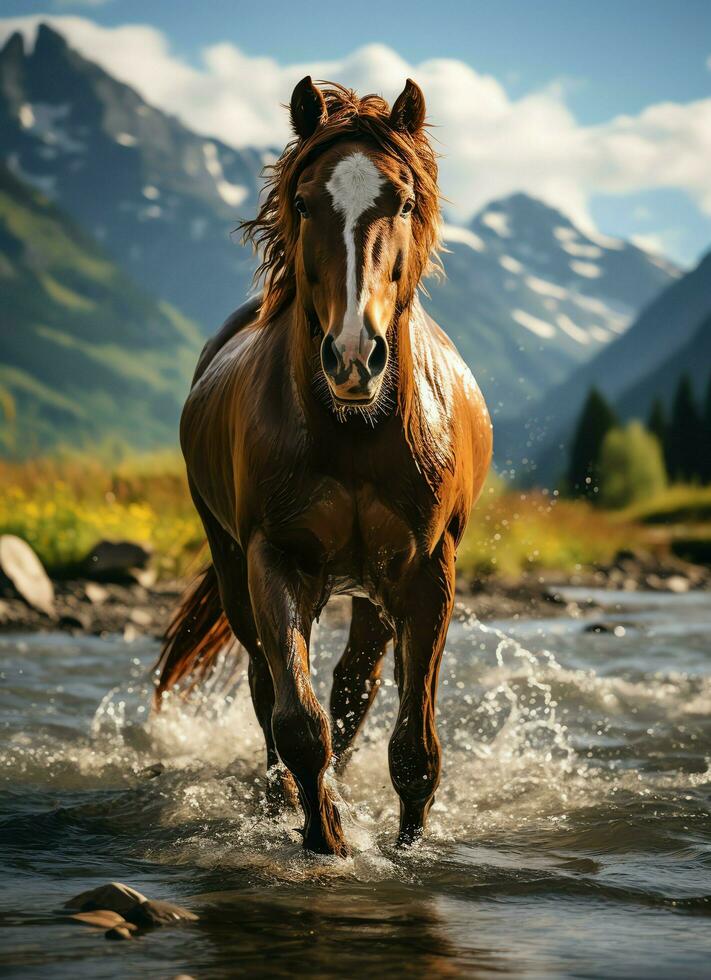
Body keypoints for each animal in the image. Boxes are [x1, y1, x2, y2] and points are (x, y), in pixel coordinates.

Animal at [156, 78, 492, 856]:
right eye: (306, 202)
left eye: (402, 200)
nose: (352, 357)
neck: (356, 435)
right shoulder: (273, 559)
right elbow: (299, 723)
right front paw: (325, 837)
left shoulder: (427, 573)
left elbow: (413, 746)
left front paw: (406, 848)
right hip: (238, 569)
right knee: (268, 685)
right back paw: (283, 798)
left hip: (369, 591)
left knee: (352, 687)